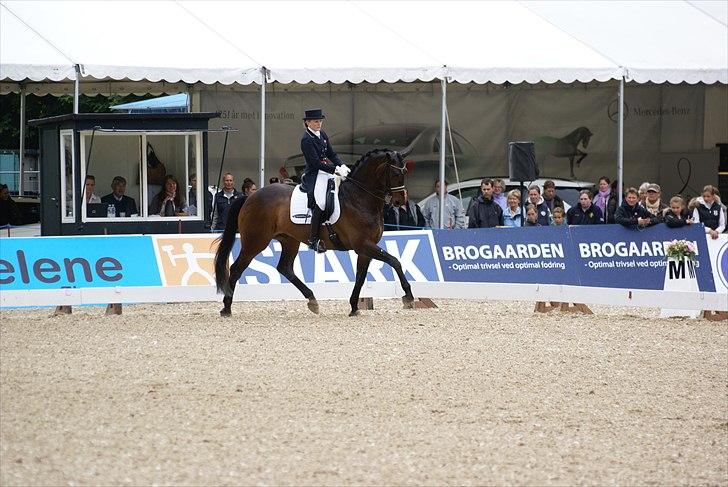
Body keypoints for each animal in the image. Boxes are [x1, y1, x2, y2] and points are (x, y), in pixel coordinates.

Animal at [212, 149, 416, 316]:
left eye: (405, 172)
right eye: (395, 173)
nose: (400, 201)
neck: (359, 197)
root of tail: (250, 197)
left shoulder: (365, 249)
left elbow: (360, 276)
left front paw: (354, 307)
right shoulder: (364, 244)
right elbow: (395, 261)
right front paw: (408, 296)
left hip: (289, 240)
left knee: (285, 268)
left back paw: (312, 300)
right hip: (255, 241)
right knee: (236, 268)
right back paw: (226, 307)